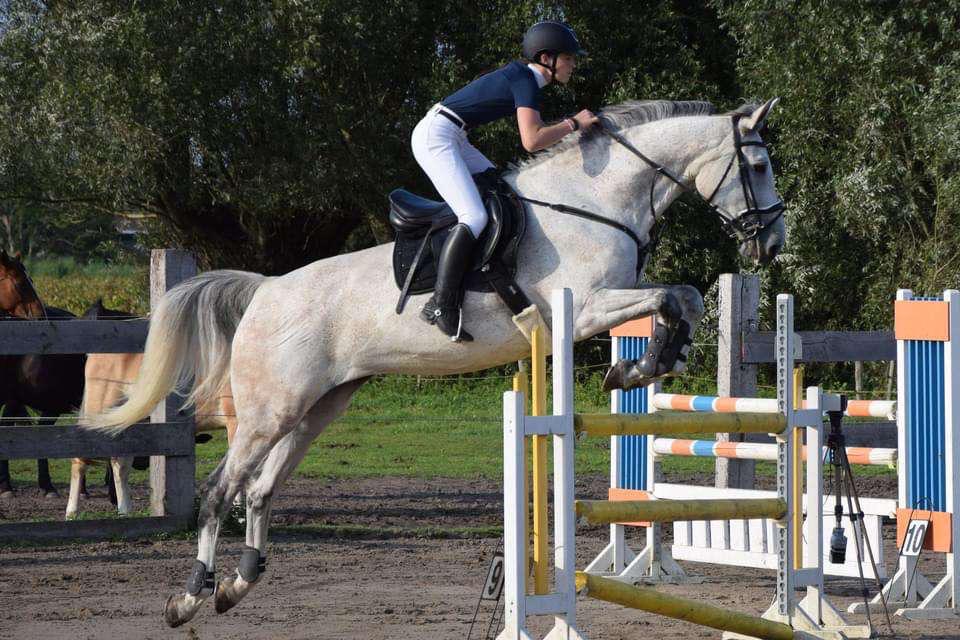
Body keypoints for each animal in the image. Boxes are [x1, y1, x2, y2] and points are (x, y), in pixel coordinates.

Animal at [84, 99, 787, 626]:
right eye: (757, 163)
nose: (773, 242)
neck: (598, 198)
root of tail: (265, 290)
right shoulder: (584, 308)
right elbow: (672, 295)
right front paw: (637, 368)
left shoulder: (605, 303)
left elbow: (683, 296)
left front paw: (649, 363)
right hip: (269, 411)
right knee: (219, 492)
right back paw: (188, 597)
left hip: (319, 408)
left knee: (258, 491)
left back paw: (239, 584)